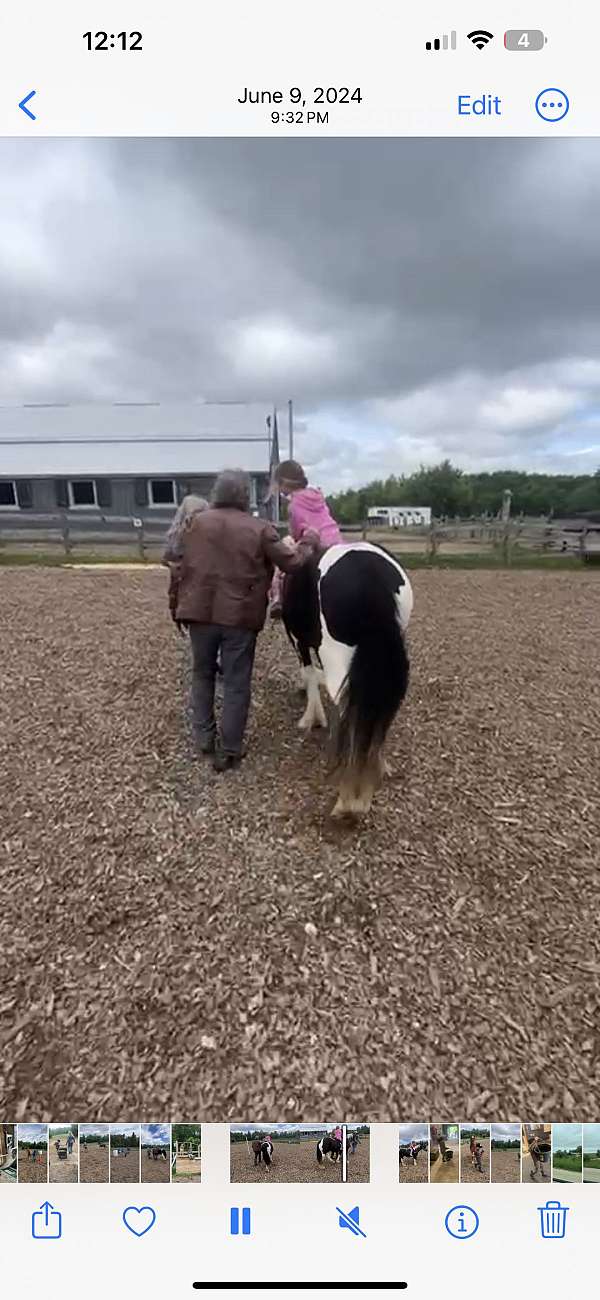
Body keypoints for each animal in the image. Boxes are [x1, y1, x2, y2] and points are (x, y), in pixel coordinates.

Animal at [281, 543, 412, 816]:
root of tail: (368, 572)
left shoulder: (299, 642)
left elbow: (310, 675)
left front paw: (312, 718)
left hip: (336, 659)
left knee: (345, 707)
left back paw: (348, 798)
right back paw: (376, 767)